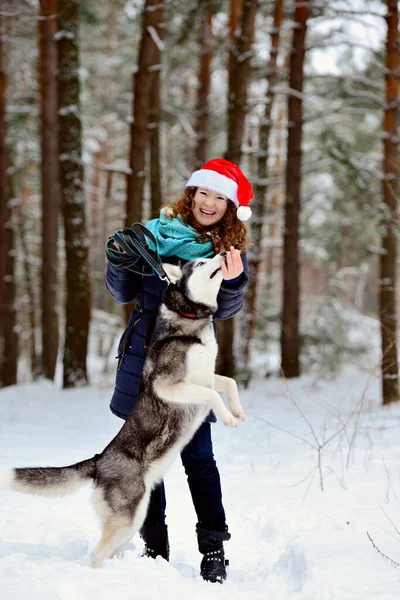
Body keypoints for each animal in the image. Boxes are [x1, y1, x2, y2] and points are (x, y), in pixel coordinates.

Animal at [0, 253, 245, 568]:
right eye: (201, 263)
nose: (225, 253)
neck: (189, 321)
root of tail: (98, 461)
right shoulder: (169, 385)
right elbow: (213, 394)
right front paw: (227, 418)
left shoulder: (206, 377)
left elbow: (229, 383)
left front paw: (237, 410)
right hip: (127, 517)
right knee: (97, 553)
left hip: (133, 519)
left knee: (112, 550)